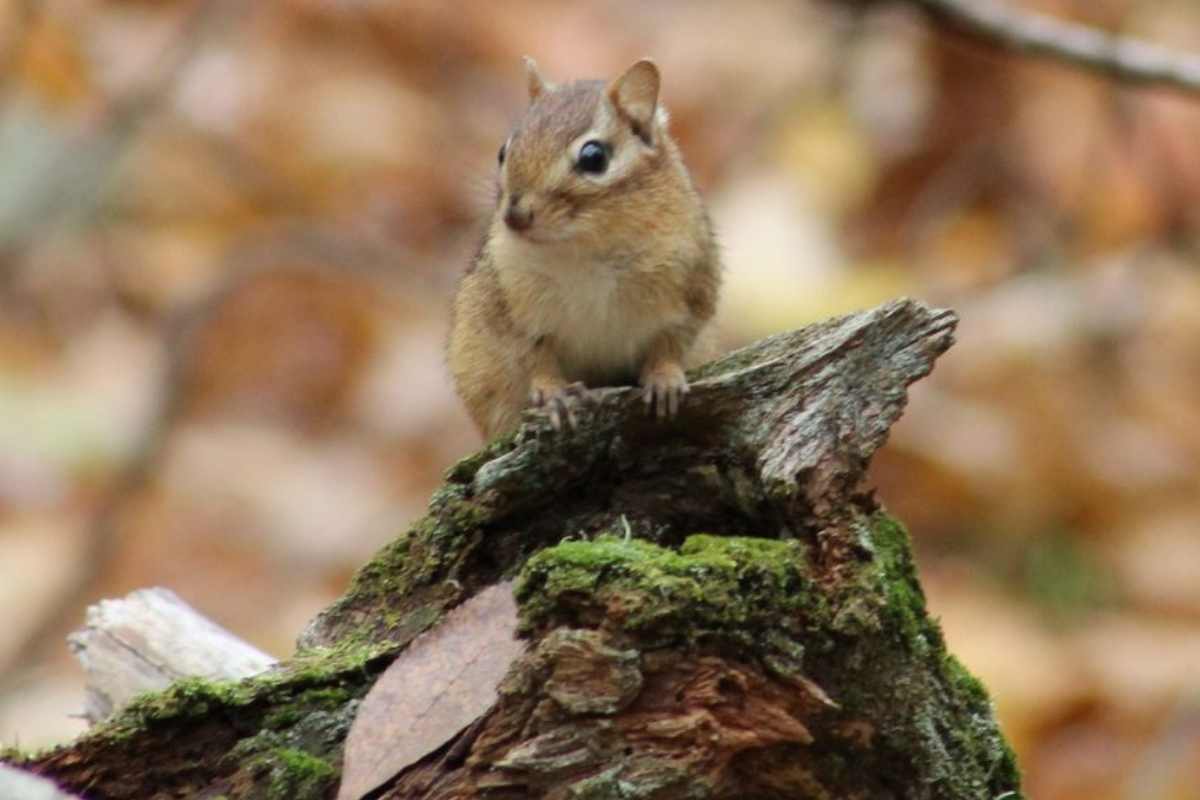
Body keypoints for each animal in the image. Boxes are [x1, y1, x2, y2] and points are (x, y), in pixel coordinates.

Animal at [449, 57, 721, 441]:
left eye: (594, 157)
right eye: (504, 151)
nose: (514, 217)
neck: (585, 247)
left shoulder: (694, 284)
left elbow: (672, 340)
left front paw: (664, 378)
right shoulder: (509, 305)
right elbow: (533, 355)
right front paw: (552, 392)